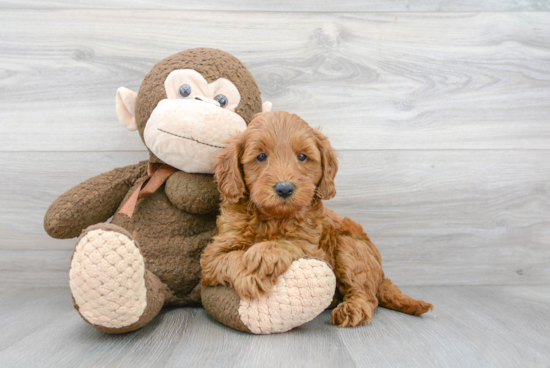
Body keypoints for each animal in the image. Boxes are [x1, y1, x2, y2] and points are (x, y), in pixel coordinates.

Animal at [201, 110, 434, 326]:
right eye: (261, 156)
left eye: (302, 157)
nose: (284, 188)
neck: (273, 218)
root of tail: (382, 275)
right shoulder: (214, 253)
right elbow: (230, 257)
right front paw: (249, 274)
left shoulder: (314, 248)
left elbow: (289, 244)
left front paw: (265, 254)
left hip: (350, 246)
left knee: (367, 295)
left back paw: (351, 309)